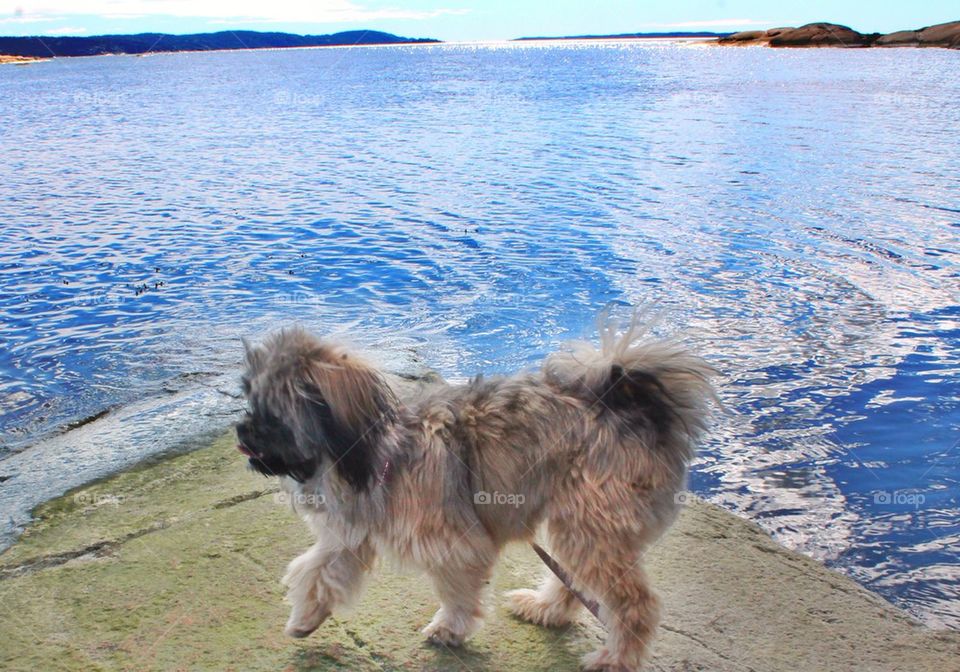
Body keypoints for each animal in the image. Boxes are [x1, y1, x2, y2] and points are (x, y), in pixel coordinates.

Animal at [232, 316, 712, 672]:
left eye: (271, 415)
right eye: (249, 401)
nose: (240, 429)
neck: (373, 450)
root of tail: (636, 408)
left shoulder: (453, 542)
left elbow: (457, 592)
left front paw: (450, 630)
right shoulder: (349, 534)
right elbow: (316, 572)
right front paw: (305, 619)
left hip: (593, 522)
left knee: (635, 605)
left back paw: (615, 658)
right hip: (578, 521)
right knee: (575, 579)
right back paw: (545, 609)